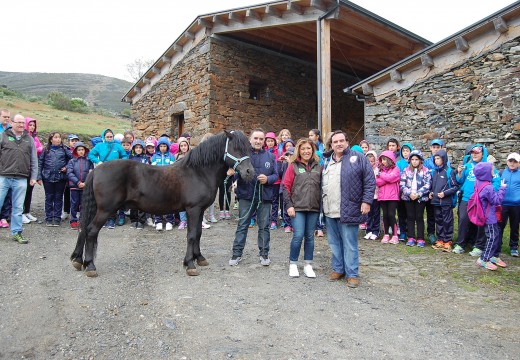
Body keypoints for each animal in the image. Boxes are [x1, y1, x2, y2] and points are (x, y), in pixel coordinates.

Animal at [70, 131, 254, 278]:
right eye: (236, 148)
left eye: (248, 148)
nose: (249, 172)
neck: (198, 172)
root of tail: (96, 170)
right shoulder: (193, 210)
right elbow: (191, 235)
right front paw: (190, 264)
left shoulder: (200, 210)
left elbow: (199, 234)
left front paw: (199, 258)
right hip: (105, 210)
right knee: (91, 231)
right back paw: (90, 266)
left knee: (85, 230)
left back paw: (79, 260)